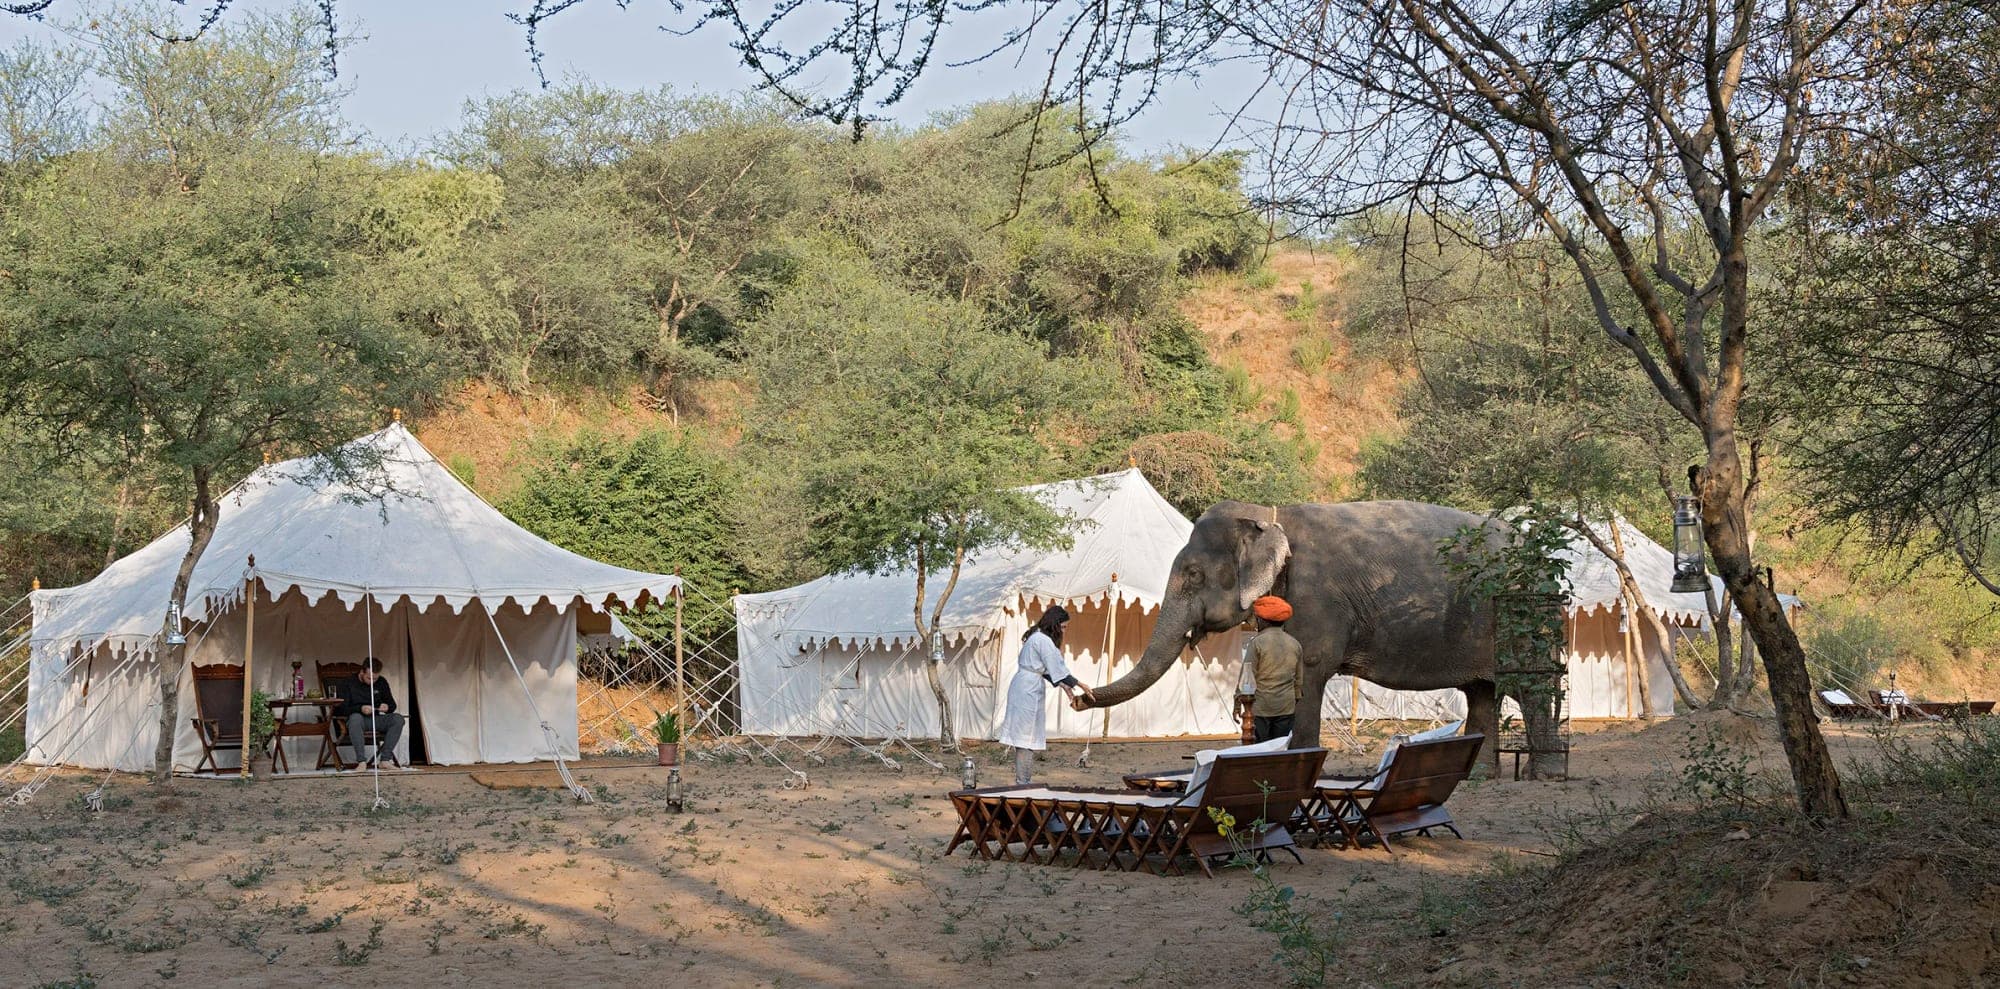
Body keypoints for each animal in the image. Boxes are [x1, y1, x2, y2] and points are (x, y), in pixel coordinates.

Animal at [1077, 499, 1516, 772]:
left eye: (1194, 575)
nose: (1079, 696)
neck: (1271, 517)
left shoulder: (1316, 595)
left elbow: (1309, 670)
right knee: (1482, 693)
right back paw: (1478, 775)